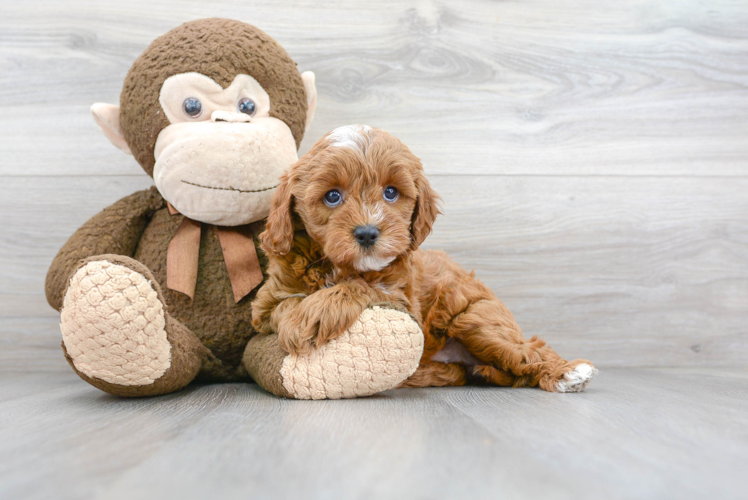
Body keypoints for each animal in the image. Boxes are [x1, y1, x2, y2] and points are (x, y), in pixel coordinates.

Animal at [254, 125, 600, 390]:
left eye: (391, 192)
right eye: (332, 196)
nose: (367, 233)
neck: (337, 265)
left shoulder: (402, 301)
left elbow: (362, 286)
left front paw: (314, 314)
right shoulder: (265, 305)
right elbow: (286, 304)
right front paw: (301, 317)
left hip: (477, 319)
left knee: (527, 351)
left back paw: (567, 372)